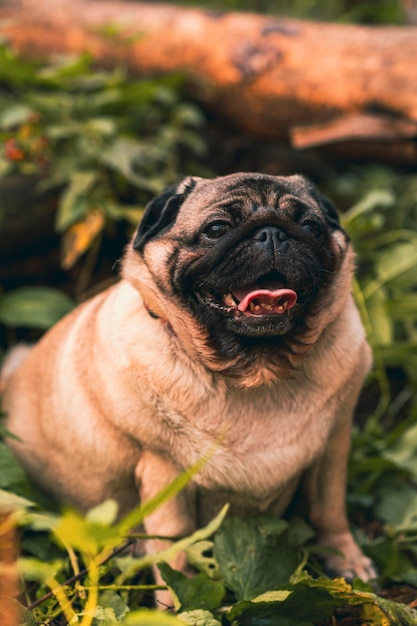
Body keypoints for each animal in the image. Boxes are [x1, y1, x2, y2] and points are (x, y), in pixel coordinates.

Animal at [1, 173, 376, 604]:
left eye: (311, 227)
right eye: (216, 230)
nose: (272, 233)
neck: (255, 372)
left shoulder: (334, 445)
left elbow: (330, 508)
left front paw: (346, 558)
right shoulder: (165, 474)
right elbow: (174, 551)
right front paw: (175, 605)